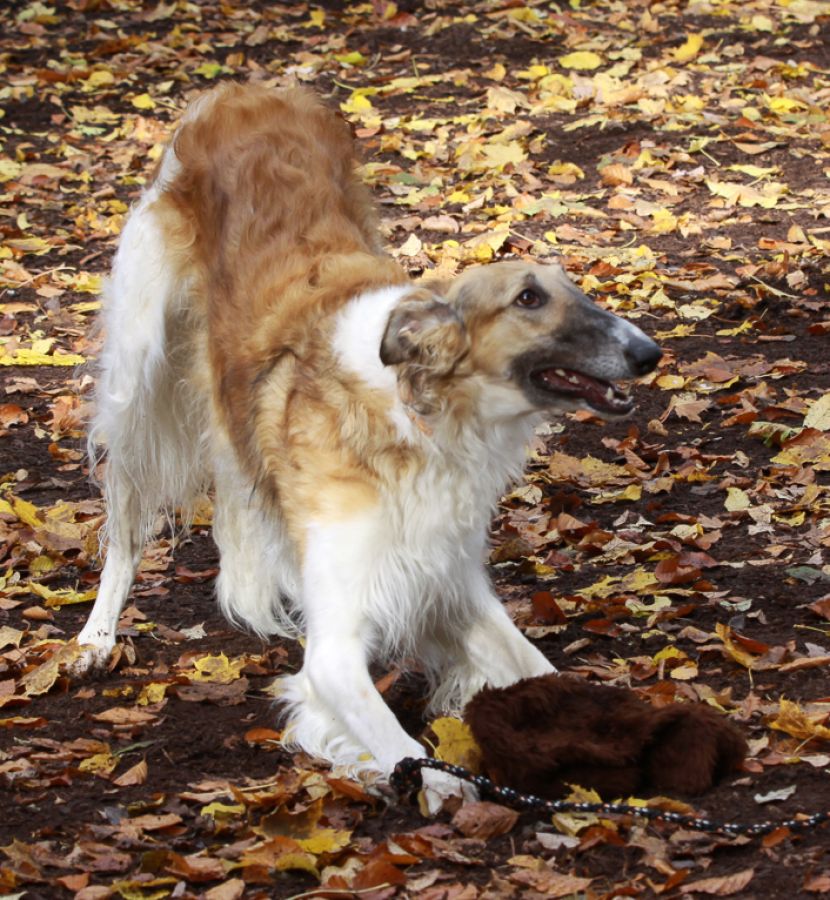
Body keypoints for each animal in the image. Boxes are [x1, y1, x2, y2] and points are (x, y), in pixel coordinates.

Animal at [73, 83, 661, 811]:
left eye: (576, 288)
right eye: (528, 297)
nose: (649, 353)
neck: (414, 418)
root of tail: (243, 90)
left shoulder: (449, 582)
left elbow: (541, 670)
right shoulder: (333, 649)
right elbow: (411, 752)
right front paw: (439, 787)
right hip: (136, 380)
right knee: (124, 526)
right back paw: (96, 636)